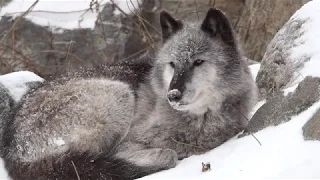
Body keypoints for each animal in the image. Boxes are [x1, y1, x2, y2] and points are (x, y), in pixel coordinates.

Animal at [0, 8, 256, 180]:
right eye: (172, 64)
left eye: (198, 62)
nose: (172, 95)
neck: (200, 120)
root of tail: (12, 147)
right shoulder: (129, 143)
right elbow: (168, 152)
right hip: (117, 94)